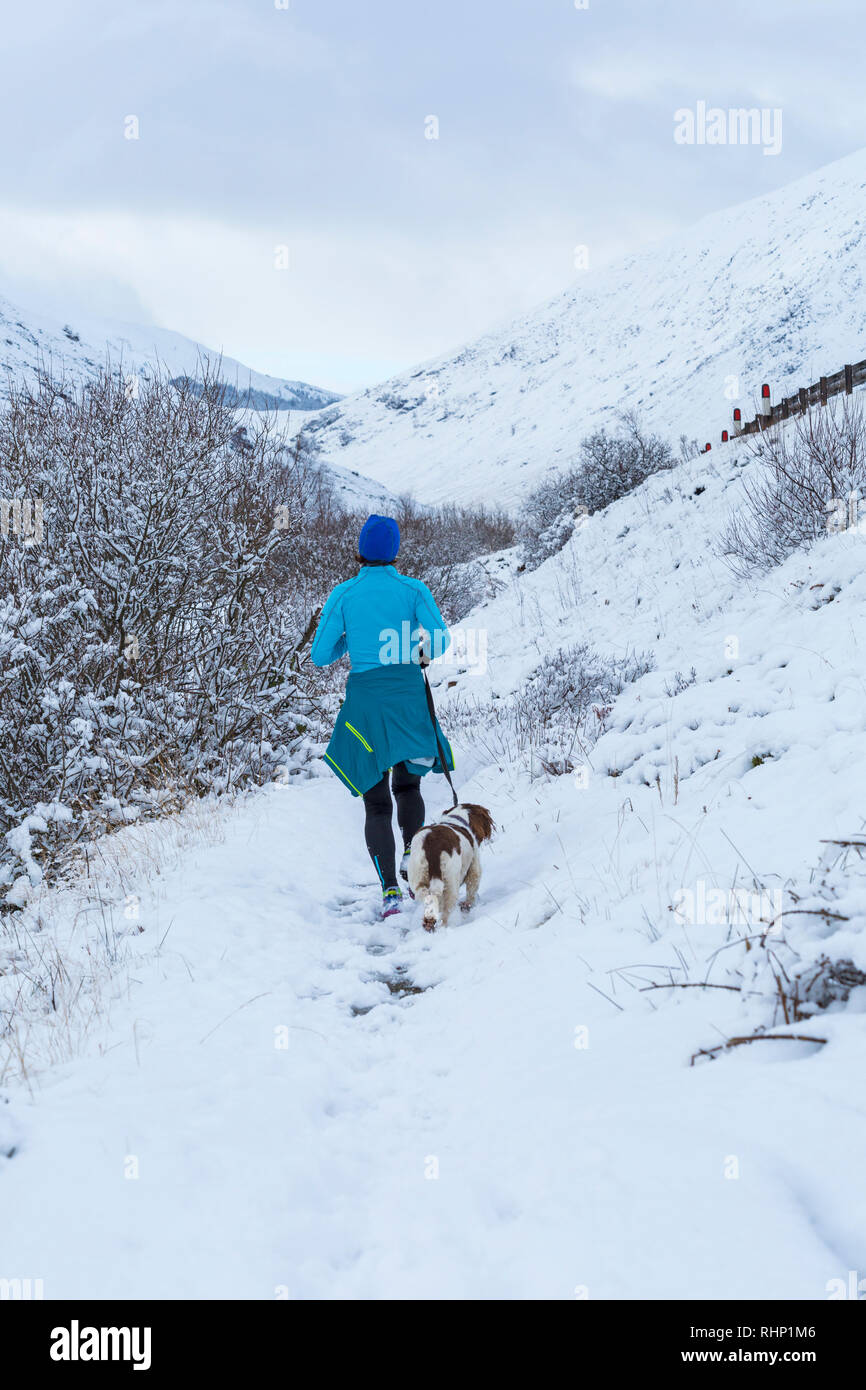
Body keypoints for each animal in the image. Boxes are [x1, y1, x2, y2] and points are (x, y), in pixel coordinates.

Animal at [405, 806, 494, 934]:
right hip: (451, 883)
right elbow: (471, 894)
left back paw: (428, 923)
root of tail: (432, 847)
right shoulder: (474, 869)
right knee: (445, 913)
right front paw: (467, 908)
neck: (456, 818)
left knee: (429, 899)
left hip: (418, 878)